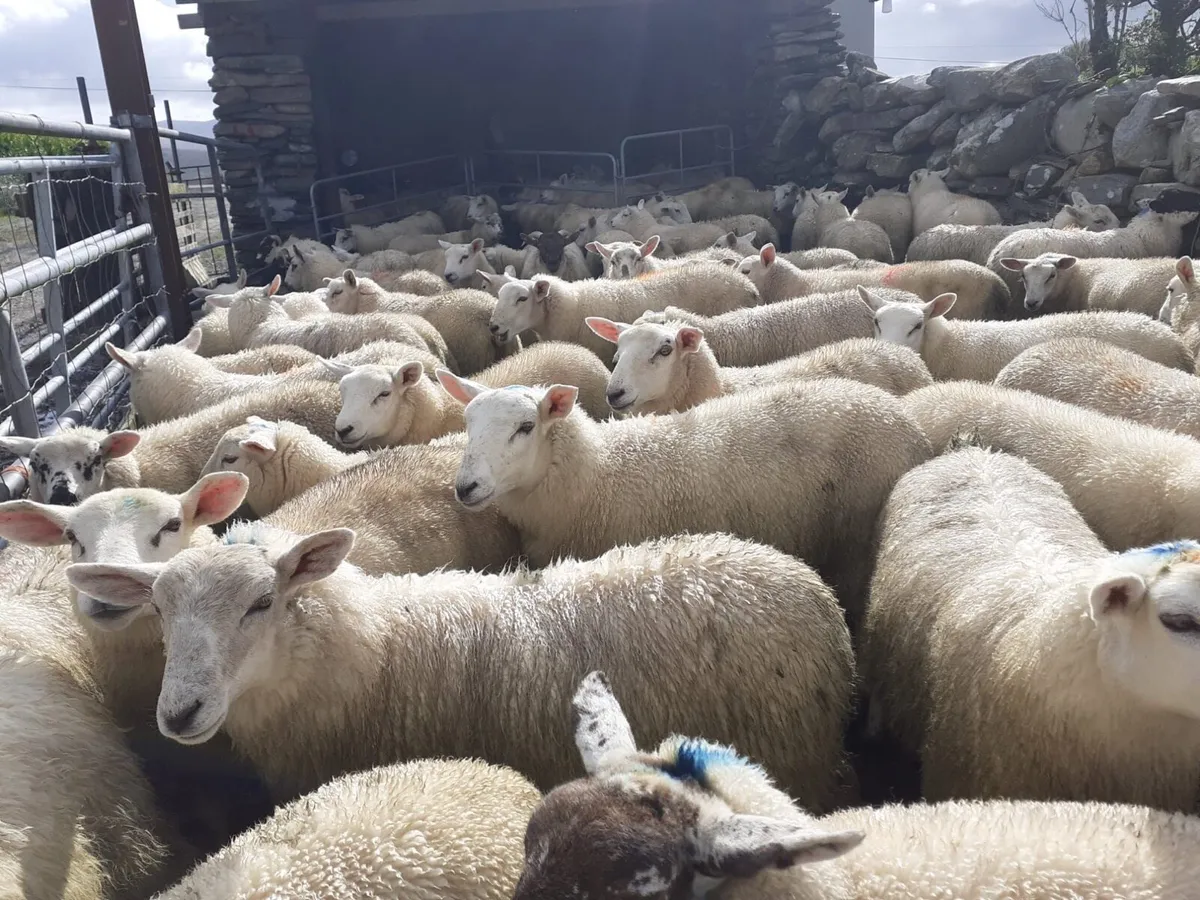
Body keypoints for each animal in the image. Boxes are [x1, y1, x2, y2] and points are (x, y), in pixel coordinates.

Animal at [442, 374, 930, 619]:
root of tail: (906, 421)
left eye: (526, 426)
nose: (465, 487)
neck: (597, 473)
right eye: (467, 423)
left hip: (853, 544)